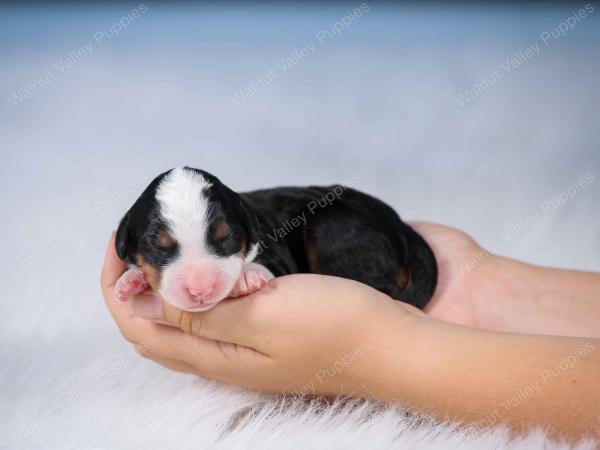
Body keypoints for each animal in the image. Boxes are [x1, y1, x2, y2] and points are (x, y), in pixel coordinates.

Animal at [113, 167, 436, 312]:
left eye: (228, 238)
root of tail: (400, 225)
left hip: (329, 226)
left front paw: (246, 278)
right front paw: (131, 281)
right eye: (158, 246)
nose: (200, 290)